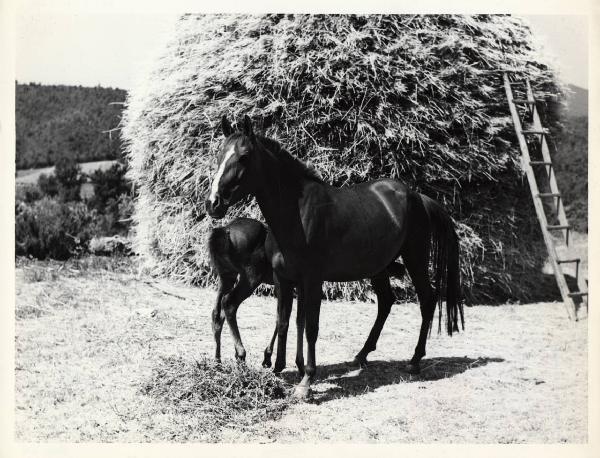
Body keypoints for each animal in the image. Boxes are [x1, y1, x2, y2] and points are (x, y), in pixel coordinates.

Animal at [209, 216, 406, 370]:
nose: (398, 268)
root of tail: (224, 230)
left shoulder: (291, 285)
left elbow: (283, 318)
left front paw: (269, 357)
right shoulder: (296, 284)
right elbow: (292, 319)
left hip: (227, 276)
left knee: (217, 313)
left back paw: (218, 360)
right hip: (250, 277)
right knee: (229, 304)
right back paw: (240, 354)